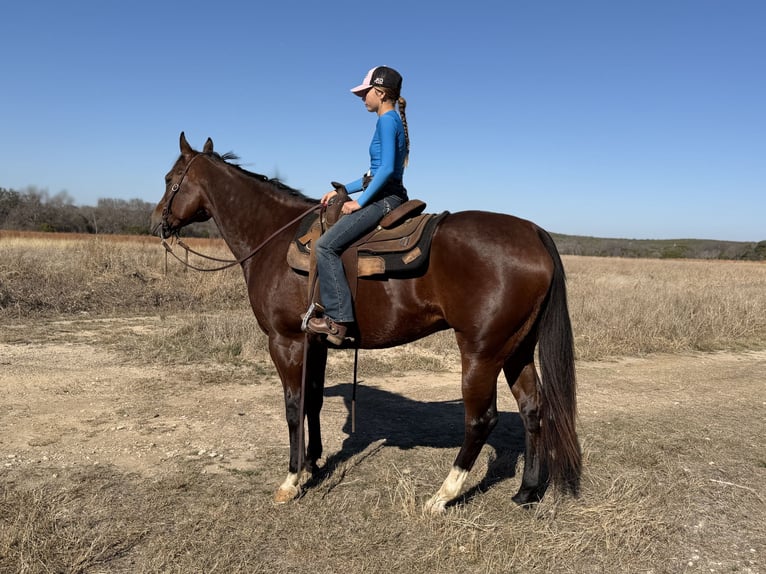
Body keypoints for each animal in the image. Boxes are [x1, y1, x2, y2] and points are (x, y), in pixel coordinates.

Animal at [151, 132, 581, 512]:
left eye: (171, 179)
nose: (156, 222)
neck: (272, 237)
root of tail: (534, 232)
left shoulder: (285, 341)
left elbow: (293, 406)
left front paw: (291, 479)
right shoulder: (315, 343)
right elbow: (313, 400)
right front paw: (314, 463)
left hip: (481, 352)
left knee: (480, 420)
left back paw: (442, 496)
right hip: (516, 349)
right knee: (532, 408)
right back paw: (526, 492)